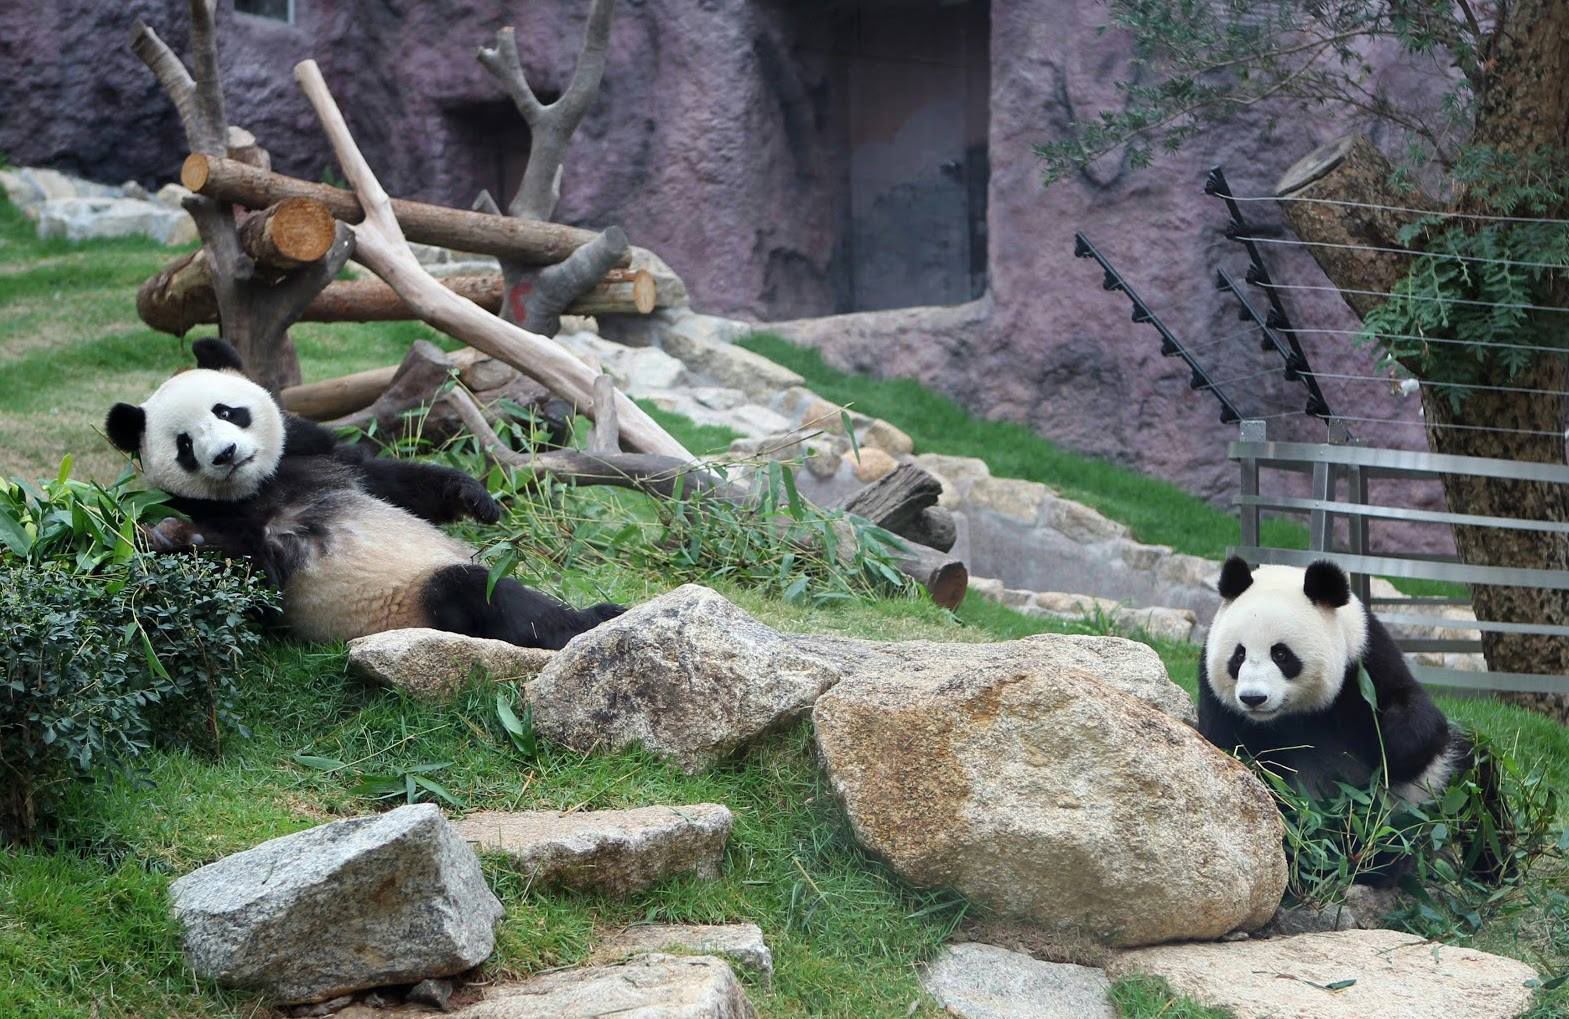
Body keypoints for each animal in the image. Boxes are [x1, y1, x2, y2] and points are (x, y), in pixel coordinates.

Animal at [105, 338, 623, 650]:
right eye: (184, 445)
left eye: (227, 411)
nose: (226, 454)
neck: (262, 486)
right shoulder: (221, 514)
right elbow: (257, 581)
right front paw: (176, 538)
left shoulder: (318, 456)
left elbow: (388, 480)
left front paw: (475, 496)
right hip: (414, 608)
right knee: (481, 593)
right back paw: (588, 620)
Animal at [1199, 556, 1503, 882]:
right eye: (1239, 655)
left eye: (1280, 654)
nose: (1253, 698)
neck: (1294, 716)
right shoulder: (1221, 705)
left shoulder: (1366, 660)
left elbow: (1419, 721)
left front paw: (1386, 752)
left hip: (1442, 787)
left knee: (1480, 790)